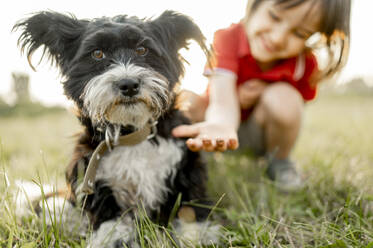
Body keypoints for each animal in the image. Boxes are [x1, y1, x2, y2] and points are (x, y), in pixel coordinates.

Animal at [14, 10, 218, 247]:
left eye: (142, 50)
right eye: (97, 54)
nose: (128, 85)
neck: (132, 134)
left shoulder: (185, 164)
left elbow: (189, 204)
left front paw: (198, 233)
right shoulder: (92, 175)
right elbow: (109, 217)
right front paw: (112, 239)